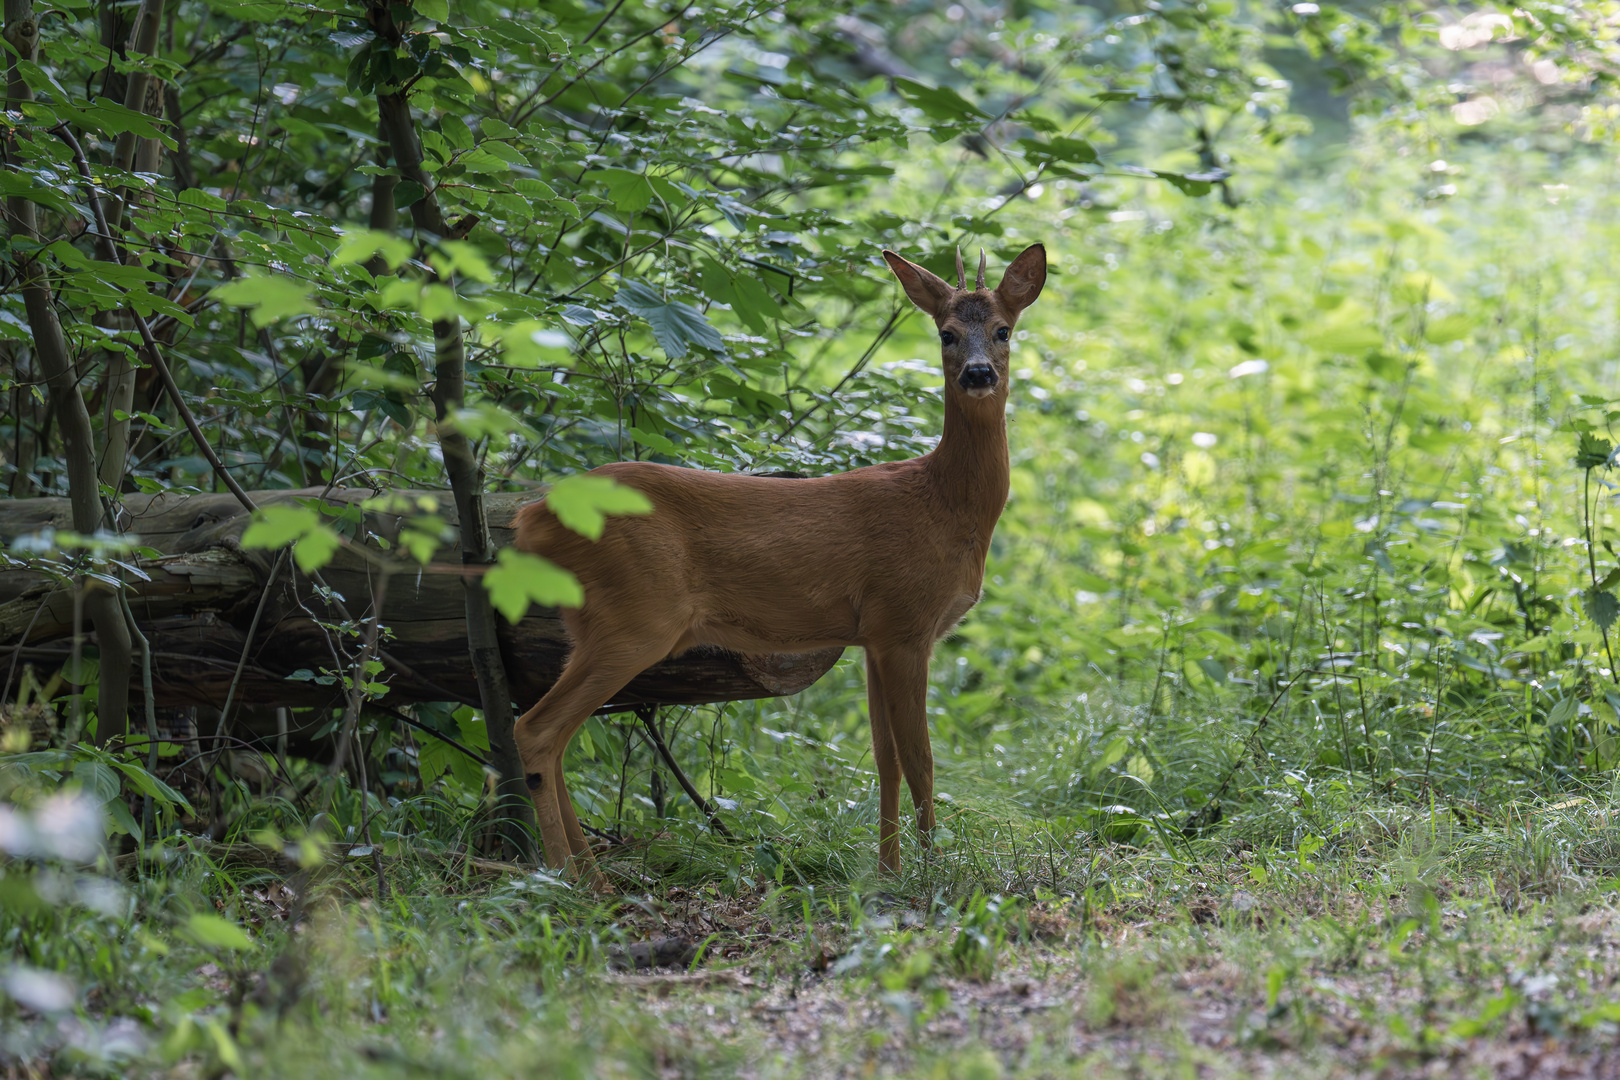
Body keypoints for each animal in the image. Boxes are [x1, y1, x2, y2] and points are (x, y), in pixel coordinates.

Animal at [511, 244, 1056, 880]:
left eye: (1003, 330)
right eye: (945, 333)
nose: (978, 373)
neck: (946, 504)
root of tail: (532, 517)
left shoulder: (873, 634)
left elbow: (886, 759)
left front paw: (888, 872)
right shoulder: (906, 622)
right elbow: (921, 759)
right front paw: (932, 874)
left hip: (592, 622)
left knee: (556, 737)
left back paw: (584, 874)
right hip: (635, 618)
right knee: (537, 729)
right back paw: (578, 881)